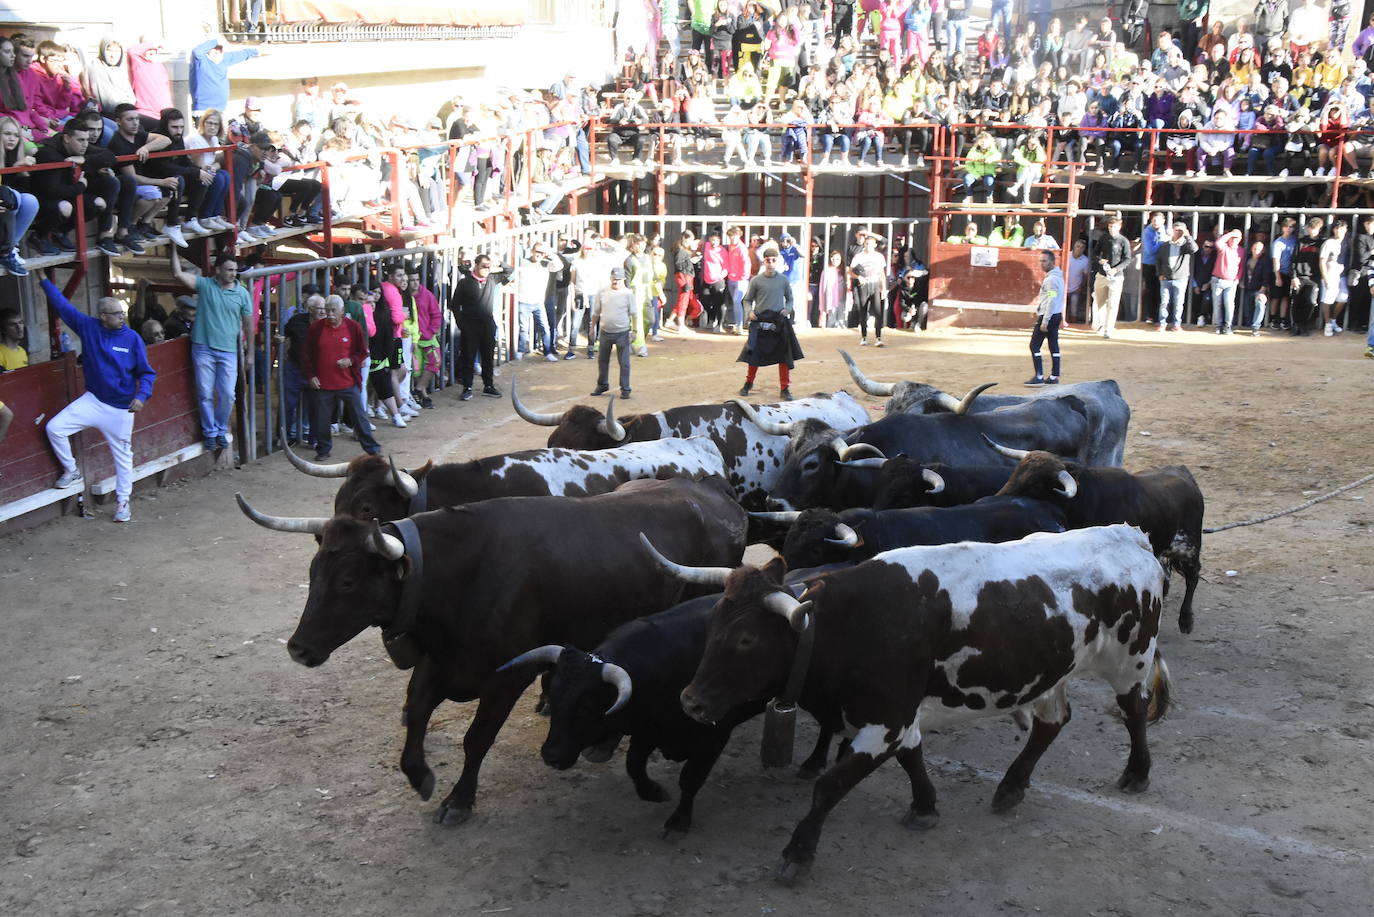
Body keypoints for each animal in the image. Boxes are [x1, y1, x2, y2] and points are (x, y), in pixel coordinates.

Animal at [250, 478, 741, 830]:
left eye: (348, 580)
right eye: (314, 571)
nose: (298, 648)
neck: (460, 575)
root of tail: (717, 496)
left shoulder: (507, 678)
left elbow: (476, 739)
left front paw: (458, 800)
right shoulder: (439, 664)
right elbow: (416, 715)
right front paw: (421, 777)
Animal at [654, 527, 1170, 885]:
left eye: (746, 639)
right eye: (713, 622)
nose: (690, 701)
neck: (844, 626)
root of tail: (1129, 536)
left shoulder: (884, 720)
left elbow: (829, 785)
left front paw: (797, 854)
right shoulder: (896, 718)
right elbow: (912, 757)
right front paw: (925, 806)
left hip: (1130, 659)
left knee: (1133, 710)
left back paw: (1138, 772)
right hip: (1051, 672)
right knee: (1052, 722)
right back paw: (1011, 787)